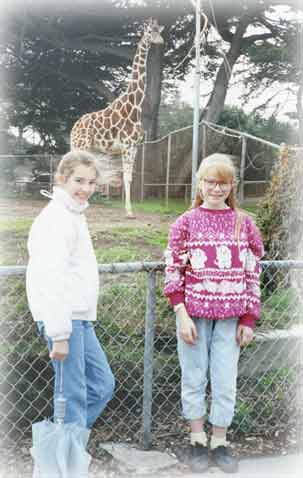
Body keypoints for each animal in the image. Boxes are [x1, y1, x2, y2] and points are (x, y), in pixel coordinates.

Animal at [70, 18, 165, 217]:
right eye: (150, 31)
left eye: (159, 31)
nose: (161, 41)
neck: (135, 105)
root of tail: (74, 127)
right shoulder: (128, 145)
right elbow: (126, 177)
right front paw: (129, 212)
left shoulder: (133, 146)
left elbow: (128, 177)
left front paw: (128, 209)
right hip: (80, 145)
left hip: (90, 148)